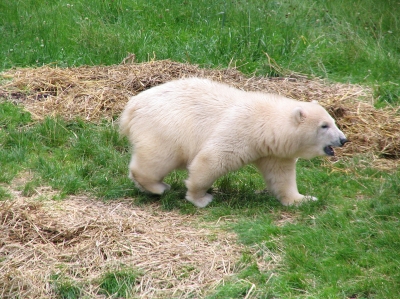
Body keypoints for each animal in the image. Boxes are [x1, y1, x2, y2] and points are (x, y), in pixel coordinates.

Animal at [119, 78, 346, 207]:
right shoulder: (240, 130)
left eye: (333, 121)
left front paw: (303, 199)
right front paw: (200, 198)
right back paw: (158, 187)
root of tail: (132, 106)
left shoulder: (274, 152)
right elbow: (212, 160)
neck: (265, 124)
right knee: (159, 157)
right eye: (324, 125)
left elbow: (282, 176)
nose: (343, 139)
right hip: (167, 126)